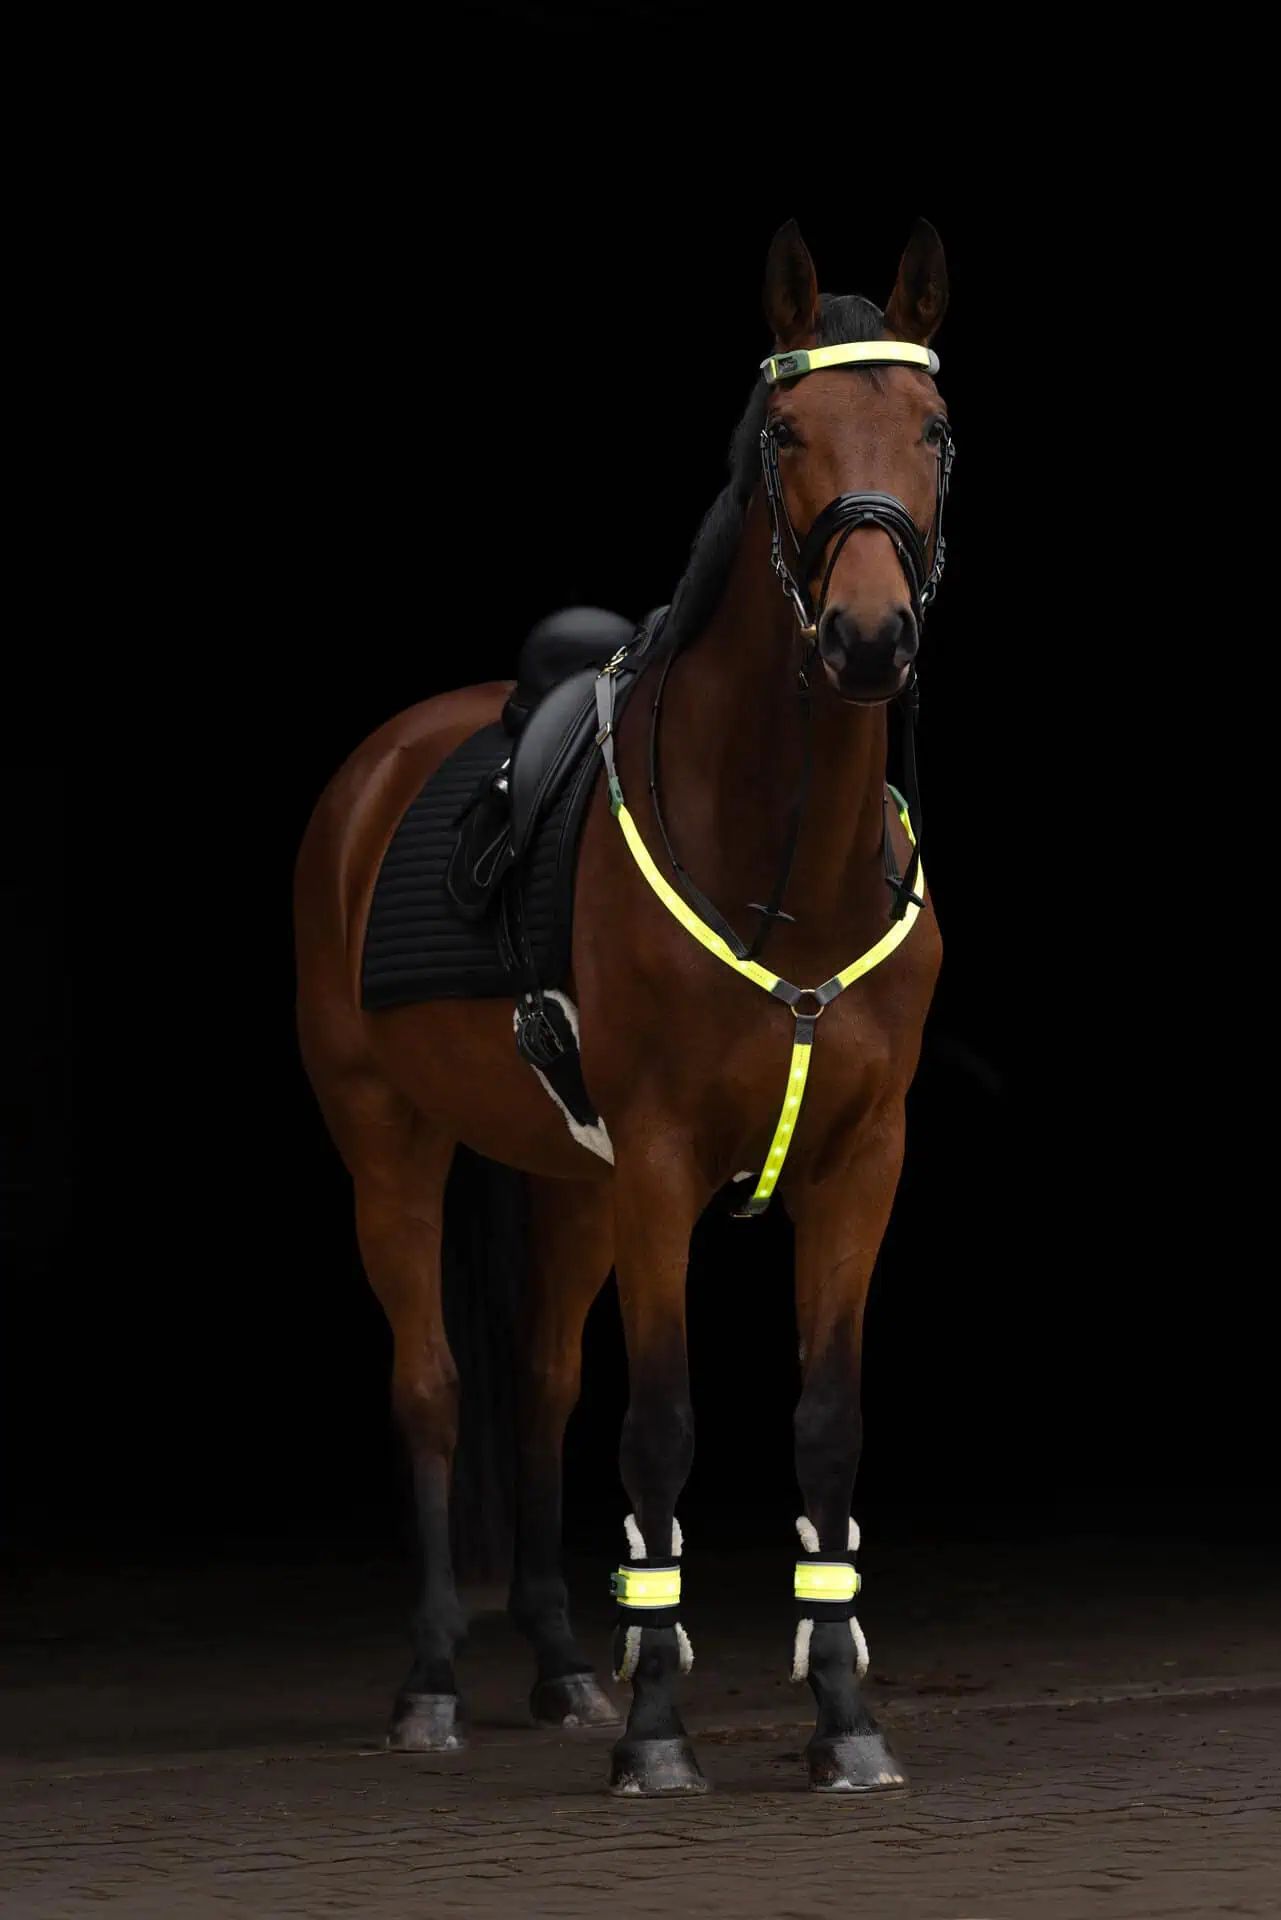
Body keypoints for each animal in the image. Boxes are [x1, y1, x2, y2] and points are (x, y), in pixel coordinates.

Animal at [294, 216, 953, 1795]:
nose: (867, 639)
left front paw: (844, 1720)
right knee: (434, 1387)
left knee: (537, 1389)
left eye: (934, 429)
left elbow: (825, 1429)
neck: (785, 871)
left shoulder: (861, 1165)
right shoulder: (658, 1165)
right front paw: (661, 1733)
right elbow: (660, 1428)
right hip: (389, 1144)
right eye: (783, 434)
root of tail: (375, 773)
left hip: (567, 1182)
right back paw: (435, 1685)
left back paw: (560, 1667)